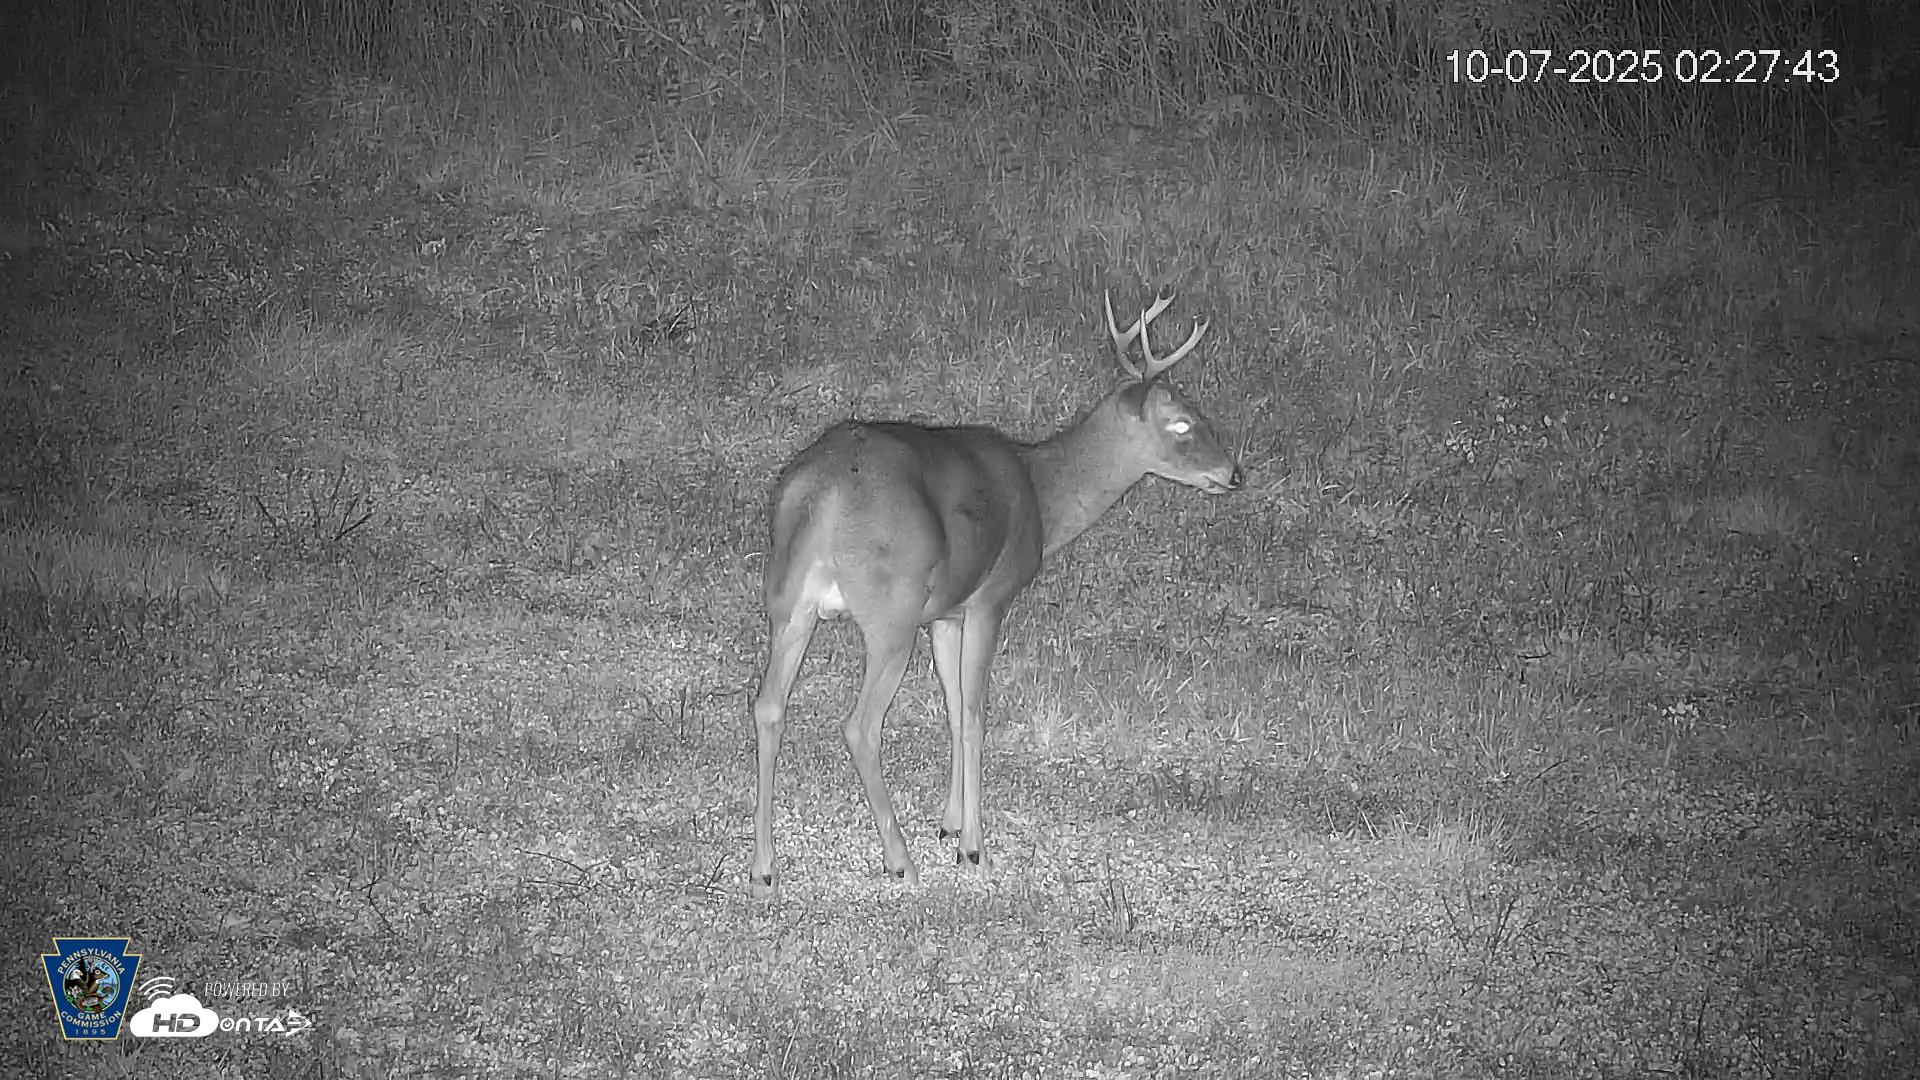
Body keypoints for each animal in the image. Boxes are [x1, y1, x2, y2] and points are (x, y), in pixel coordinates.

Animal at [750, 290, 1242, 891]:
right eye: (1182, 425)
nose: (1235, 473)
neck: (1041, 491)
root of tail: (821, 492)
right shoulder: (991, 597)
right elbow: (976, 714)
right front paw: (973, 848)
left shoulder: (946, 612)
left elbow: (953, 707)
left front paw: (947, 823)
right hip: (890, 611)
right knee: (859, 726)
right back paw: (900, 861)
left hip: (789, 600)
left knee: (768, 705)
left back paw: (763, 867)